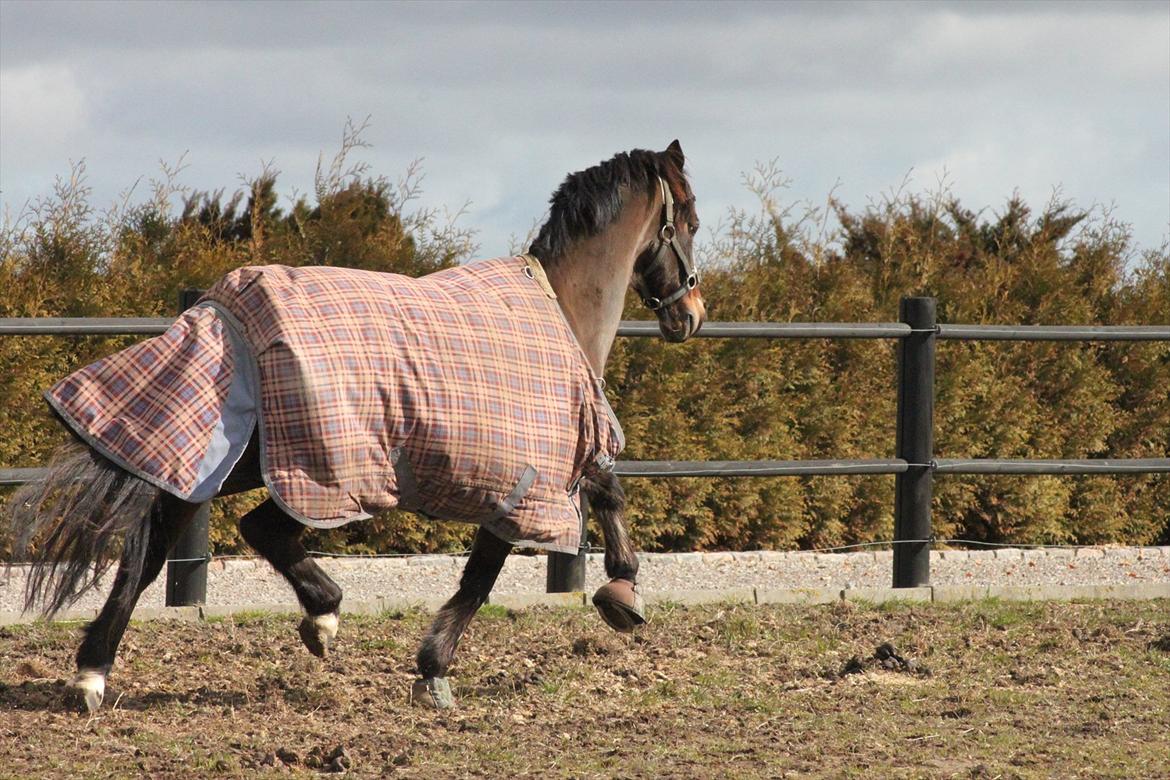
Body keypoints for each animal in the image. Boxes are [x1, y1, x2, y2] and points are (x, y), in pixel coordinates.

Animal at [9, 137, 702, 711]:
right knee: (253, 530)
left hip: (219, 460)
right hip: (310, 468)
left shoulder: (543, 473)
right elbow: (484, 574)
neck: (558, 308)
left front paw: (621, 592)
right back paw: (321, 617)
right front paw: (434, 670)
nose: (691, 312)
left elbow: (606, 493)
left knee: (153, 548)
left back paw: (92, 674)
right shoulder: (521, 483)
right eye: (691, 221)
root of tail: (224, 309)